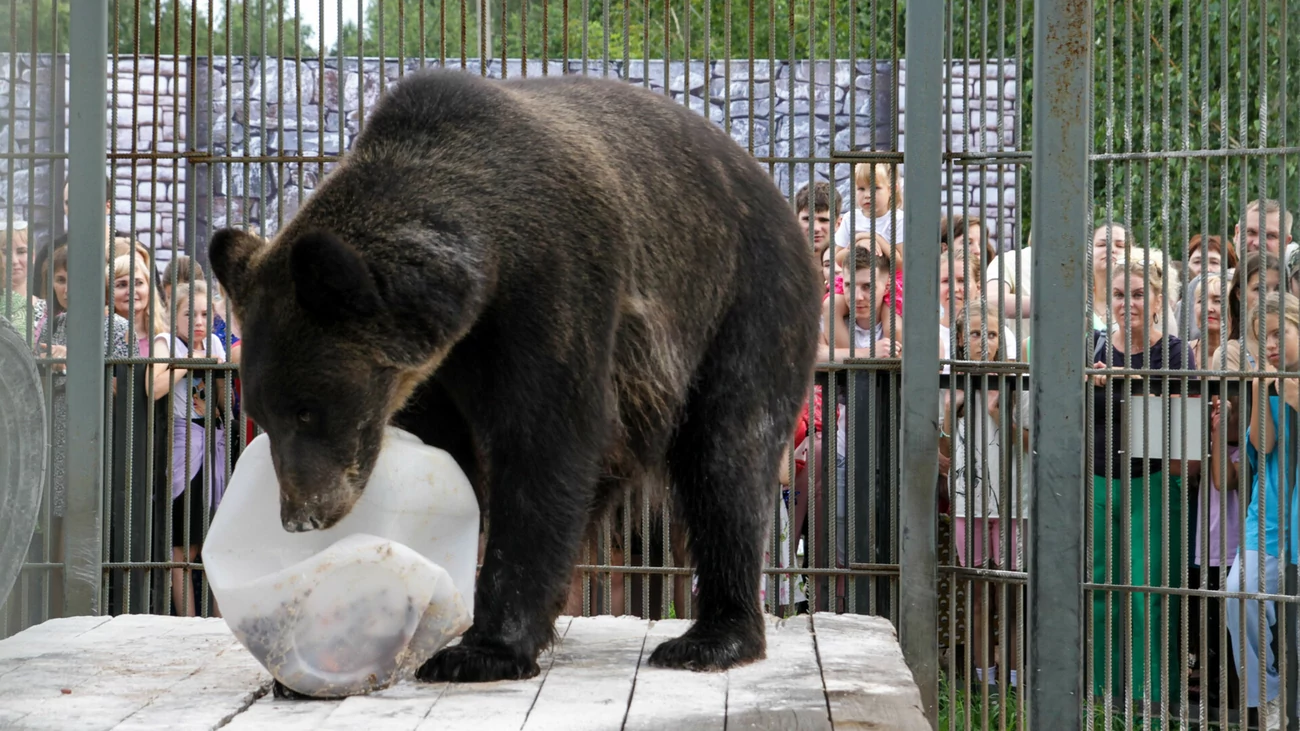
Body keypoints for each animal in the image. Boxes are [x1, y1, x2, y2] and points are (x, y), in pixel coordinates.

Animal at [210, 66, 821, 686]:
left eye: (308, 409)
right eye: (264, 413)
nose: (300, 516)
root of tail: (763, 176)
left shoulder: (557, 281)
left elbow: (545, 443)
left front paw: (481, 649)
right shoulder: (438, 369)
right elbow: (458, 454)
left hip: (743, 297)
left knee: (727, 457)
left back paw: (712, 637)